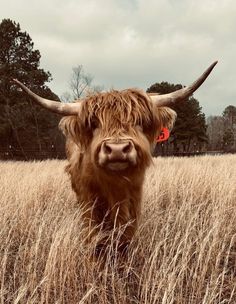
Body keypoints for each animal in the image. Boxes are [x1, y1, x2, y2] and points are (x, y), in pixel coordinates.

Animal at [12, 61, 218, 254]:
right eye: (94, 123)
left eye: (140, 121)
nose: (117, 149)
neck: (115, 188)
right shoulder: (89, 204)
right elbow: (95, 239)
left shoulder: (134, 203)